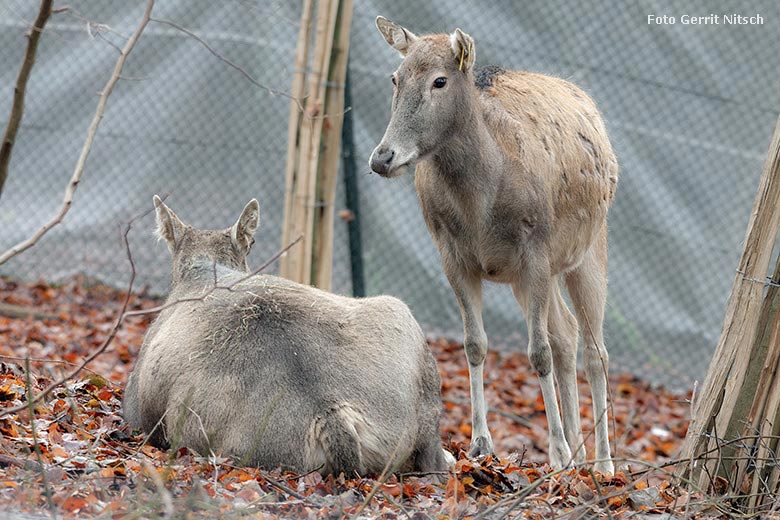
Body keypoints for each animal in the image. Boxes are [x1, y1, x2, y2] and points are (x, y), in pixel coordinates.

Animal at [368, 17, 620, 476]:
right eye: (395, 77)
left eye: (440, 80)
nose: (382, 158)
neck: (480, 205)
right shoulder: (452, 254)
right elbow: (475, 344)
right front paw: (480, 442)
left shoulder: (535, 248)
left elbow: (537, 352)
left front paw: (555, 451)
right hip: (534, 277)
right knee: (567, 332)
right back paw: (579, 454)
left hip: (590, 248)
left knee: (596, 349)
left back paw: (602, 462)